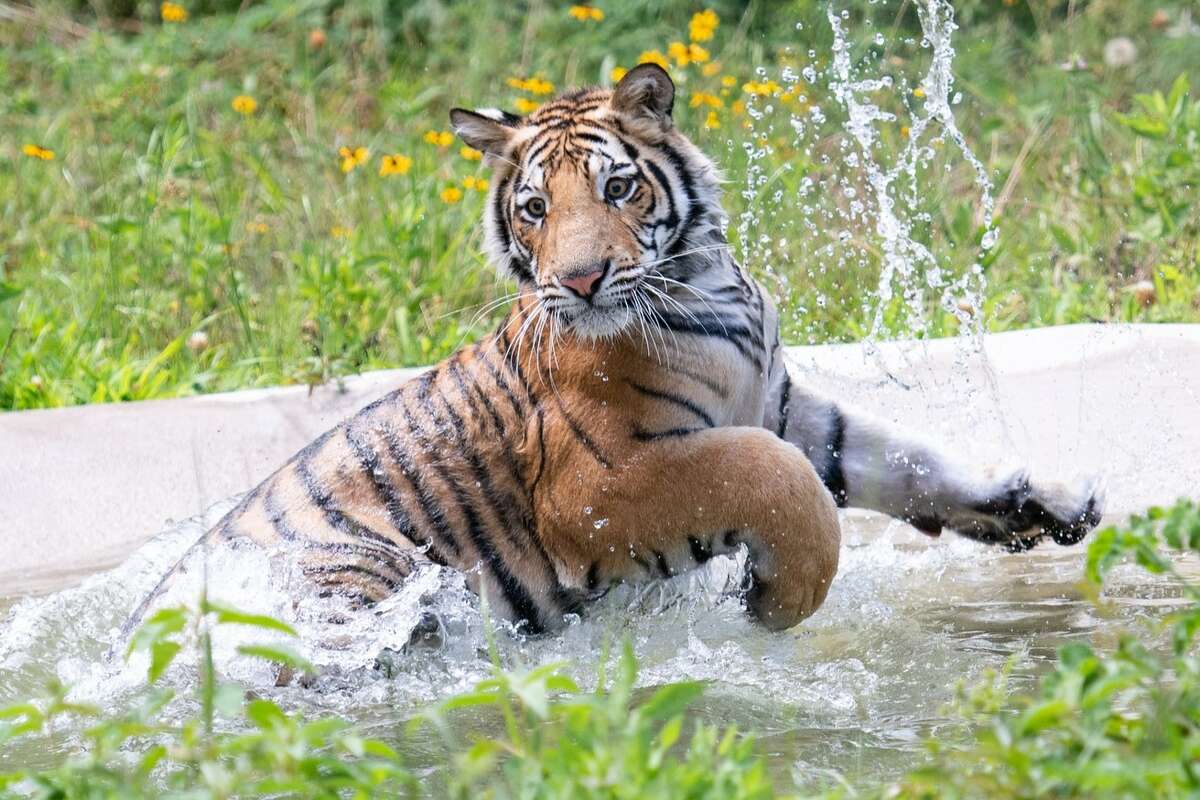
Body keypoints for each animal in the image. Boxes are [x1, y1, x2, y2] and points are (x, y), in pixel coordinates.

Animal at [121, 64, 1099, 638]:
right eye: (533, 208)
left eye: (618, 187)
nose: (581, 279)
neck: (708, 283)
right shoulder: (599, 484)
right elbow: (775, 477)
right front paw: (774, 601)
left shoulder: (782, 402)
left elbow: (907, 458)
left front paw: (1044, 503)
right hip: (360, 563)